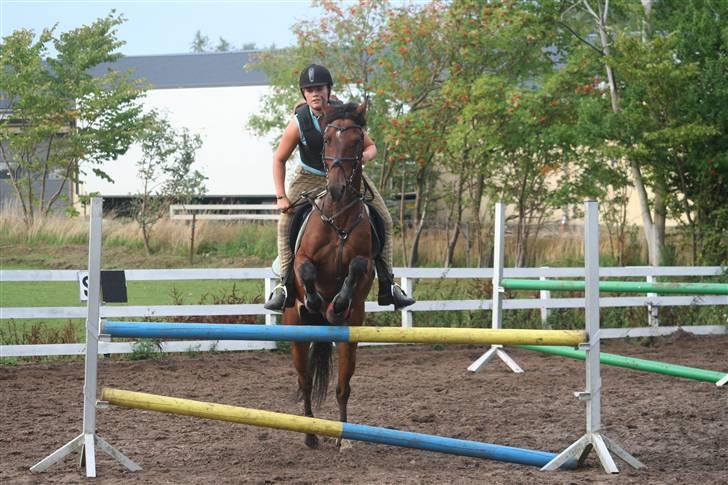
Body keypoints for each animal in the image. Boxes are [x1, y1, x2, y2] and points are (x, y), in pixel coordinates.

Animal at [282, 102, 376, 450]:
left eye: (357, 140)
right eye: (326, 141)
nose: (336, 188)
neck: (338, 217)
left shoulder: (365, 262)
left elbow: (357, 268)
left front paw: (337, 303)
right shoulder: (302, 262)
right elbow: (306, 270)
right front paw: (315, 299)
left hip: (352, 336)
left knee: (342, 386)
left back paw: (343, 438)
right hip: (295, 330)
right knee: (306, 382)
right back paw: (310, 436)